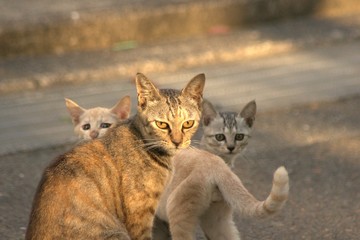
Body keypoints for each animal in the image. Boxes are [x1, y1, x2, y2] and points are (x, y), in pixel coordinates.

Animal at [153, 100, 288, 240]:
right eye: (220, 137)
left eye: (239, 137)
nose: (231, 147)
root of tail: (218, 164)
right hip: (216, 222)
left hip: (179, 213)